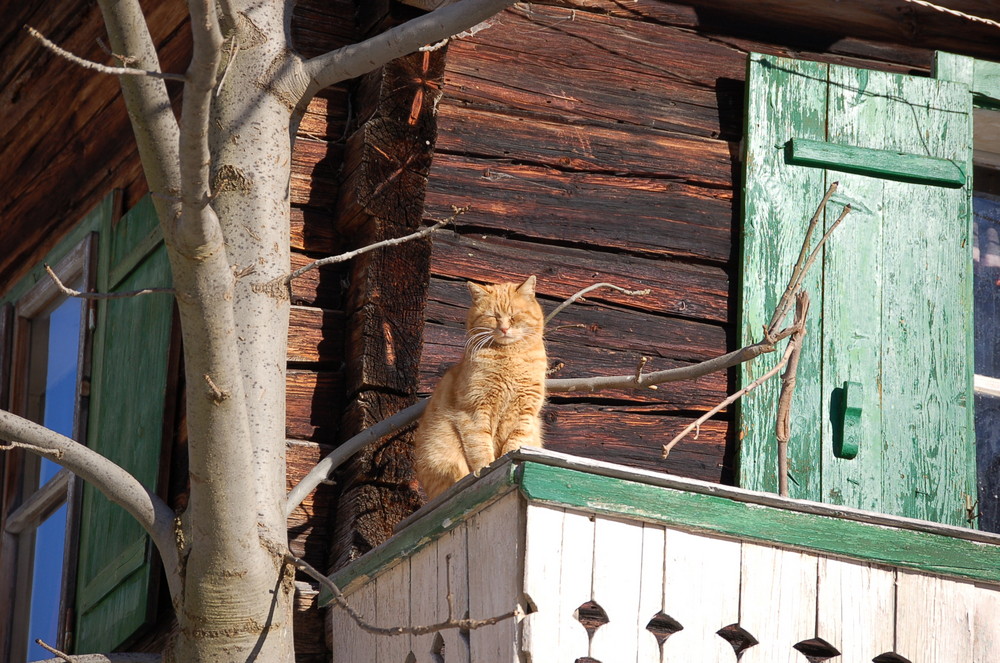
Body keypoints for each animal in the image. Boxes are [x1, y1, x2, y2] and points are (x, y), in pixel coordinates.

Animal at [416, 274, 552, 498]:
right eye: (493, 317)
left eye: (513, 316)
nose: (504, 329)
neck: (509, 357)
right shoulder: (475, 410)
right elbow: (480, 448)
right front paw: (485, 469)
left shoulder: (525, 411)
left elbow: (514, 443)